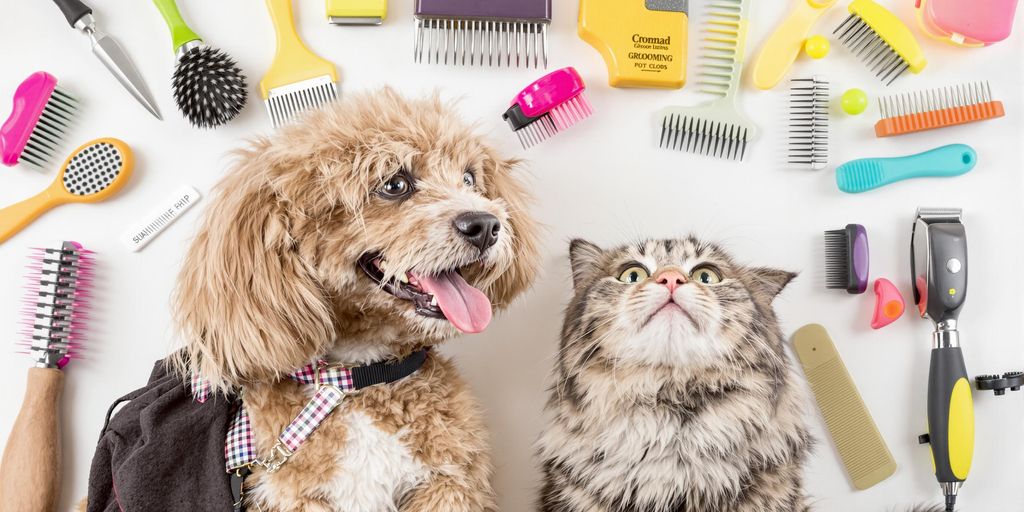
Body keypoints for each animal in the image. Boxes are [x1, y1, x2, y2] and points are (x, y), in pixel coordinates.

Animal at [172, 90, 540, 509]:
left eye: (469, 178)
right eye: (395, 184)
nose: (487, 225)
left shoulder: (449, 483)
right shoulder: (298, 499)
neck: (358, 380)